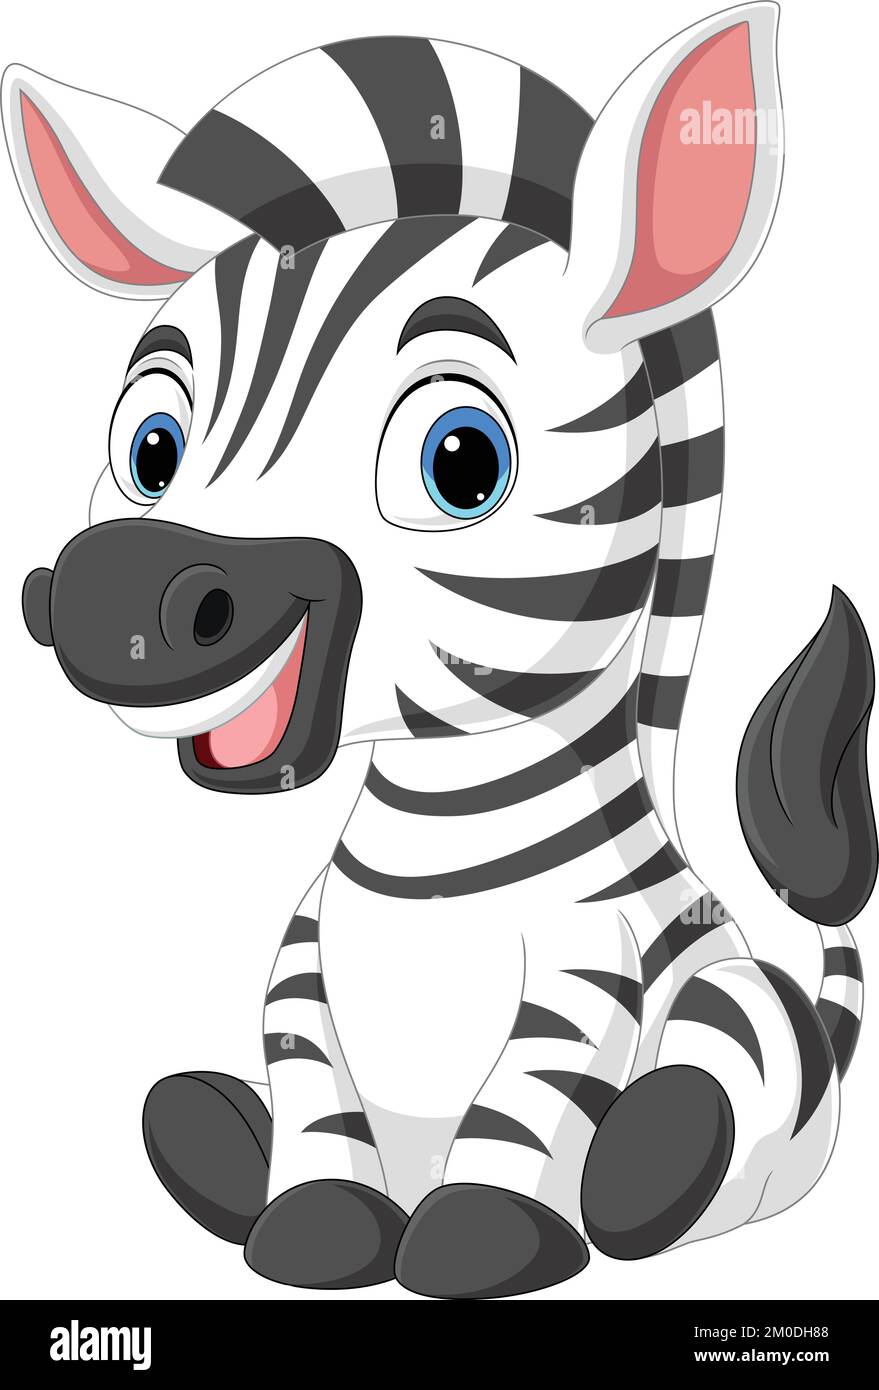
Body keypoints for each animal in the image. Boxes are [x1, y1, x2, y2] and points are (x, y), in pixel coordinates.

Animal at [6, 4, 876, 1299]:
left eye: (461, 460)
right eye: (152, 445)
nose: (121, 596)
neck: (431, 854)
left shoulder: (587, 966)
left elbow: (525, 1105)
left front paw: (481, 1237)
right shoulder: (302, 970)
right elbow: (311, 1099)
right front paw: (312, 1224)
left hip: (738, 1020)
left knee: (713, 1099)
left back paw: (647, 1163)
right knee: (197, 1110)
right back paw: (217, 1139)